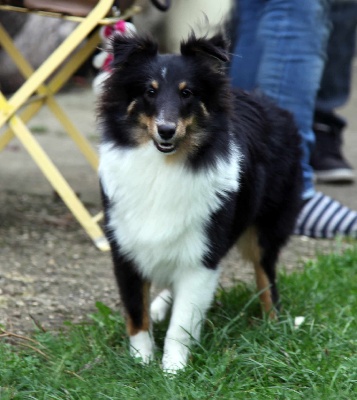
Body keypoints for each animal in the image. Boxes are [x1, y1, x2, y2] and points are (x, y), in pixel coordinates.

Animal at [96, 32, 300, 374]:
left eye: (187, 92)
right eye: (149, 91)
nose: (166, 130)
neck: (163, 166)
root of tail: (274, 106)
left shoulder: (203, 253)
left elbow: (182, 321)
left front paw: (172, 370)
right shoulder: (125, 248)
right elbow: (136, 314)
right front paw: (141, 362)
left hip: (266, 227)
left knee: (266, 274)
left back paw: (274, 325)